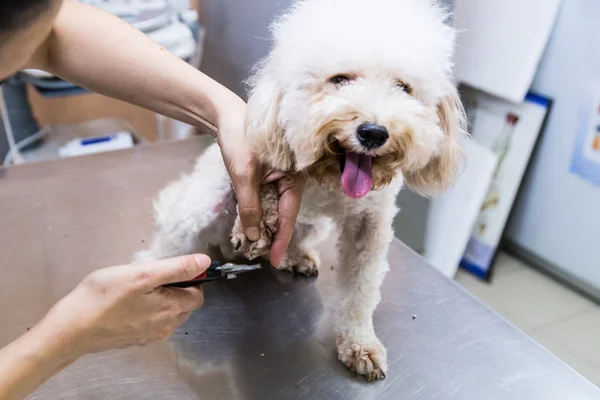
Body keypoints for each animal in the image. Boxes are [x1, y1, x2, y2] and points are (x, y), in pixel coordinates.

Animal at [136, 0, 464, 382]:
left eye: (404, 88)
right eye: (339, 79)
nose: (373, 132)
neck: (329, 178)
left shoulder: (371, 224)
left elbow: (361, 289)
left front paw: (359, 344)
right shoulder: (266, 163)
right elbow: (263, 190)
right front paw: (260, 223)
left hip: (311, 226)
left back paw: (295, 257)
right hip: (198, 211)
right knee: (165, 247)